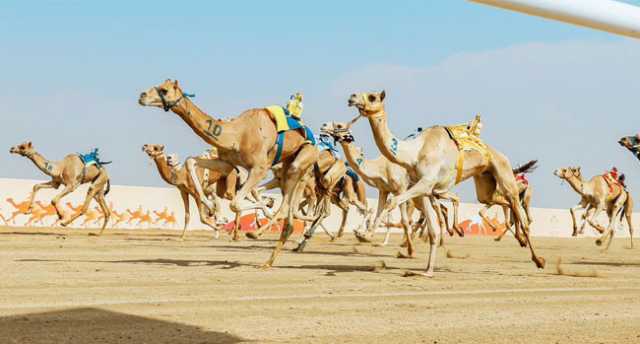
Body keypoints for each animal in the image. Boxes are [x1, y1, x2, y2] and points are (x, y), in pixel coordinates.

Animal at [140, 79, 320, 268]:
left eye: (164, 90)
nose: (142, 96)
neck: (237, 134)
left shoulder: (260, 167)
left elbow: (235, 203)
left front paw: (262, 206)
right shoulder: (227, 163)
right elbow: (190, 161)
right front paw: (211, 206)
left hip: (303, 159)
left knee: (286, 204)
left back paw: (257, 233)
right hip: (287, 165)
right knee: (289, 212)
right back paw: (267, 261)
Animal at [350, 90, 544, 276]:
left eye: (372, 97)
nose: (351, 98)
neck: (414, 153)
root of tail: (499, 155)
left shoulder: (426, 183)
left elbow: (392, 202)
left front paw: (366, 234)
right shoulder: (426, 191)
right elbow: (433, 230)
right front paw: (427, 271)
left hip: (504, 173)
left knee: (520, 213)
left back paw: (538, 260)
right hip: (484, 183)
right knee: (498, 202)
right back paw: (518, 239)